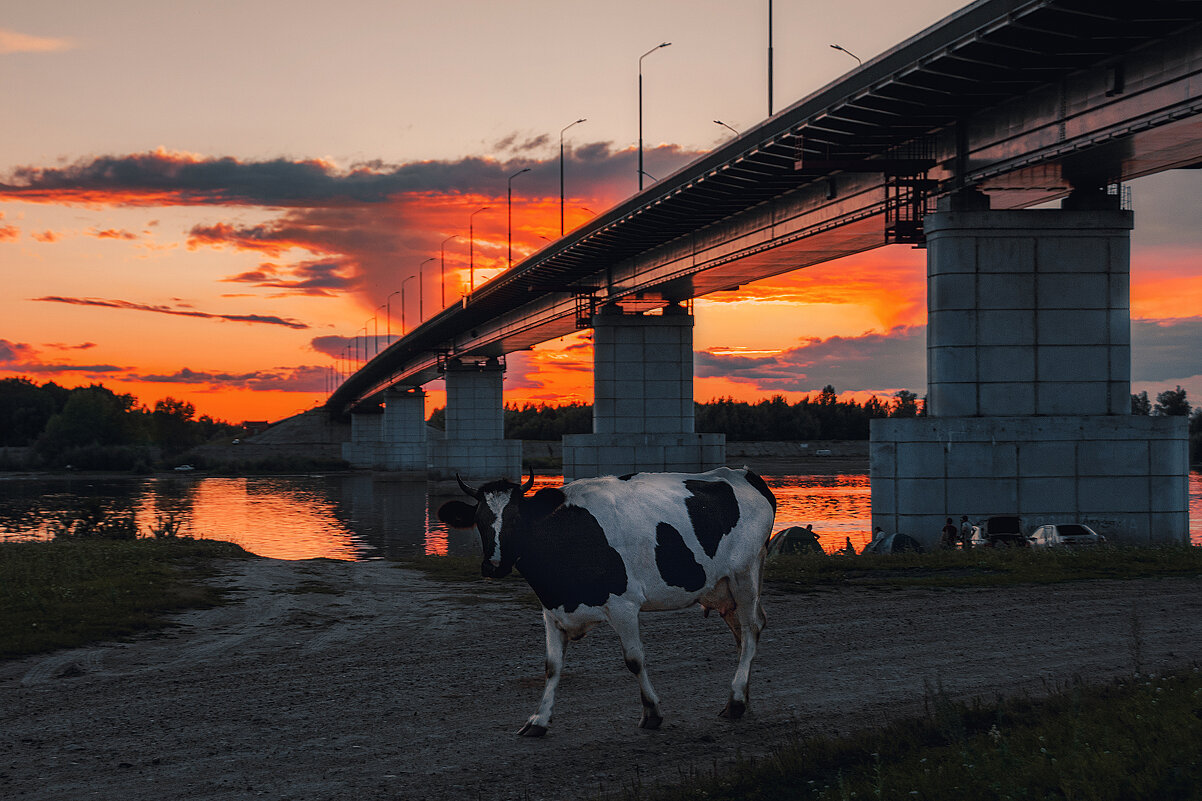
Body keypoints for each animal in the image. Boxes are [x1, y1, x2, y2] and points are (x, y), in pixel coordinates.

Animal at [437, 464, 774, 731]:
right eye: (479, 519)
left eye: (517, 519)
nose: (493, 565)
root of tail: (742, 474)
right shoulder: (551, 610)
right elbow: (552, 666)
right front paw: (539, 720)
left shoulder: (624, 605)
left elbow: (634, 660)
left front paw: (652, 713)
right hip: (724, 587)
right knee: (742, 635)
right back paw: (741, 699)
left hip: (745, 574)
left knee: (751, 630)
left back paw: (736, 702)